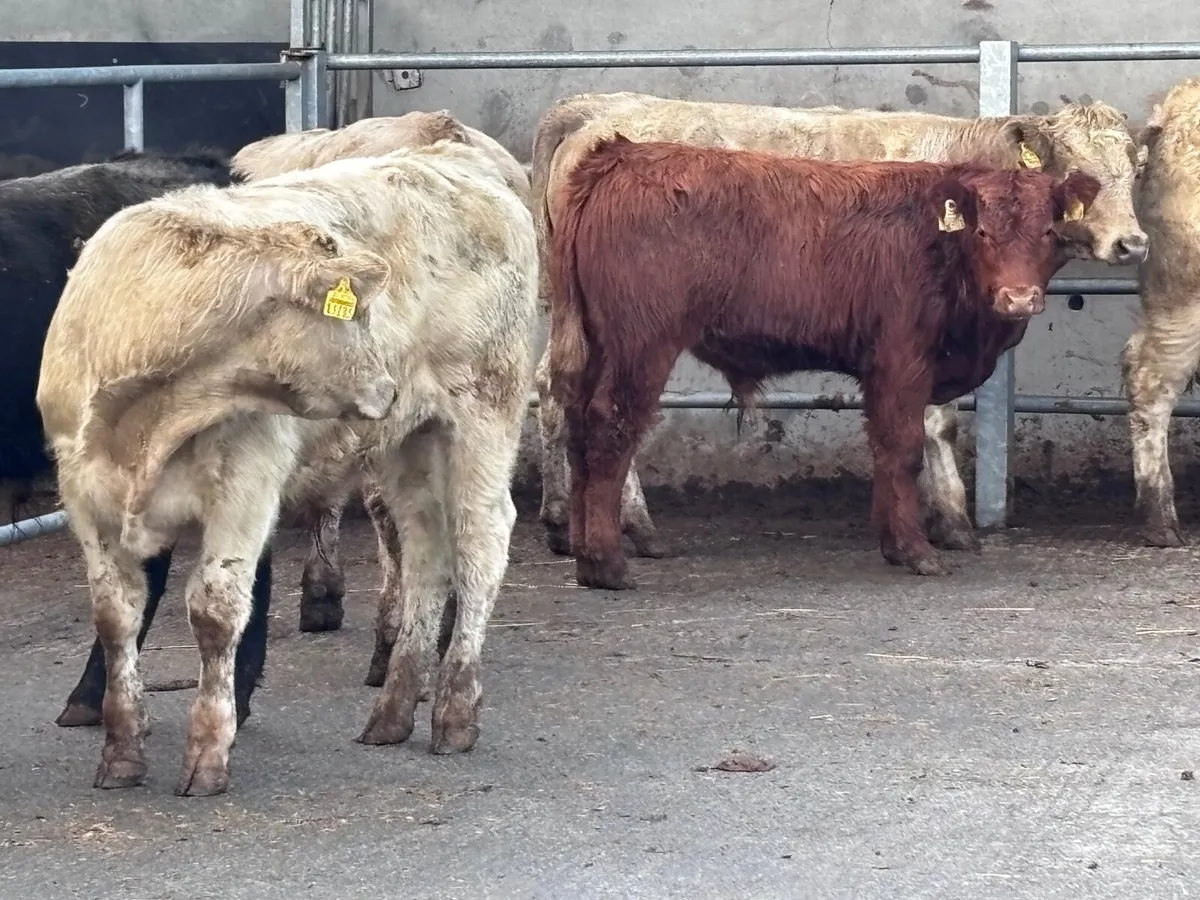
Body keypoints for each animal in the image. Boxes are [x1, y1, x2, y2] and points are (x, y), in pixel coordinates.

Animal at [36, 139, 540, 796]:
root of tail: (453, 157)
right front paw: (121, 752)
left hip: (484, 413)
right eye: (353, 315)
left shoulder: (245, 488)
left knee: (481, 542)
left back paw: (455, 709)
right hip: (409, 442)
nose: (388, 385)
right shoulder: (86, 498)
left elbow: (216, 610)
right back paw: (394, 710)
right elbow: (115, 617)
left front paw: (208, 753)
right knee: (425, 551)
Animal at [529, 92, 1148, 563]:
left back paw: (571, 523)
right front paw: (948, 522)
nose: (1132, 243)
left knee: (558, 391)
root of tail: (600, 108)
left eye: (1134, 169)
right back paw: (631, 526)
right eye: (1076, 171)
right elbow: (932, 425)